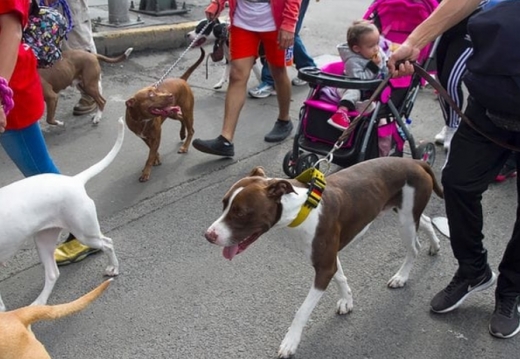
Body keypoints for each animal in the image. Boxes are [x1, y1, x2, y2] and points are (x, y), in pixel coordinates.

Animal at [0, 118, 125, 312]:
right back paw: (38, 303)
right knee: (53, 273)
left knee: (107, 243)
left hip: (85, 232)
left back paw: (113, 267)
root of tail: (74, 181)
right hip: (43, 240)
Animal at [126, 47, 205, 183]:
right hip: (172, 113)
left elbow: (151, 154)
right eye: (151, 95)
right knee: (181, 119)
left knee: (191, 129)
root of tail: (182, 79)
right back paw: (182, 133)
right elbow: (152, 149)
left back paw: (185, 146)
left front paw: (146, 172)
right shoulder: (144, 137)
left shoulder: (156, 135)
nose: (170, 95)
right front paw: (156, 158)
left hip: (187, 111)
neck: (142, 120)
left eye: (157, 90)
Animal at [203, 158, 442, 359]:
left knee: (414, 247)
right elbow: (341, 277)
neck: (302, 209)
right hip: (403, 212)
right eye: (224, 204)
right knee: (426, 220)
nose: (208, 235)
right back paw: (435, 244)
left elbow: (302, 311)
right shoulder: (329, 260)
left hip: (405, 219)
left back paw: (402, 276)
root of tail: (414, 161)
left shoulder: (324, 267)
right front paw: (347, 300)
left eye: (241, 212)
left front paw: (290, 342)